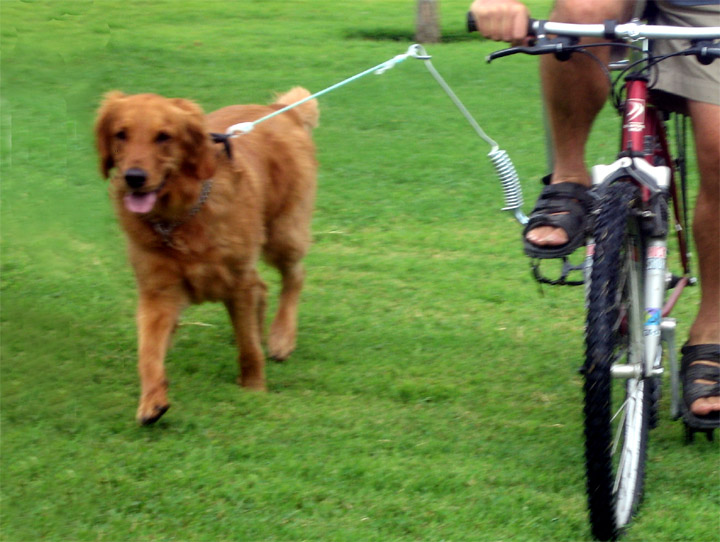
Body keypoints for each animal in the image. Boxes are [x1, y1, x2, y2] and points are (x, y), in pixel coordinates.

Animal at [95, 89, 318, 428]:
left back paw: (281, 337)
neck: (179, 216)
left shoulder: (237, 281)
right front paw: (151, 402)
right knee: (263, 287)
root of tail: (279, 109)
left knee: (294, 276)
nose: (134, 177)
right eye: (121, 134)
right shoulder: (157, 290)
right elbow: (148, 352)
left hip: (284, 234)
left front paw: (254, 388)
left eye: (164, 136)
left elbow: (248, 349)